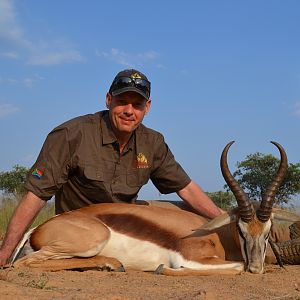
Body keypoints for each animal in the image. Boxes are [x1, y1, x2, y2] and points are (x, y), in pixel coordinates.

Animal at [11, 142, 300, 276]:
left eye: (268, 232)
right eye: (241, 230)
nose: (256, 268)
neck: (218, 237)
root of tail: (36, 230)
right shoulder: (190, 258)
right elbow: (236, 266)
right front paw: (163, 269)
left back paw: (111, 264)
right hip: (93, 238)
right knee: (23, 264)